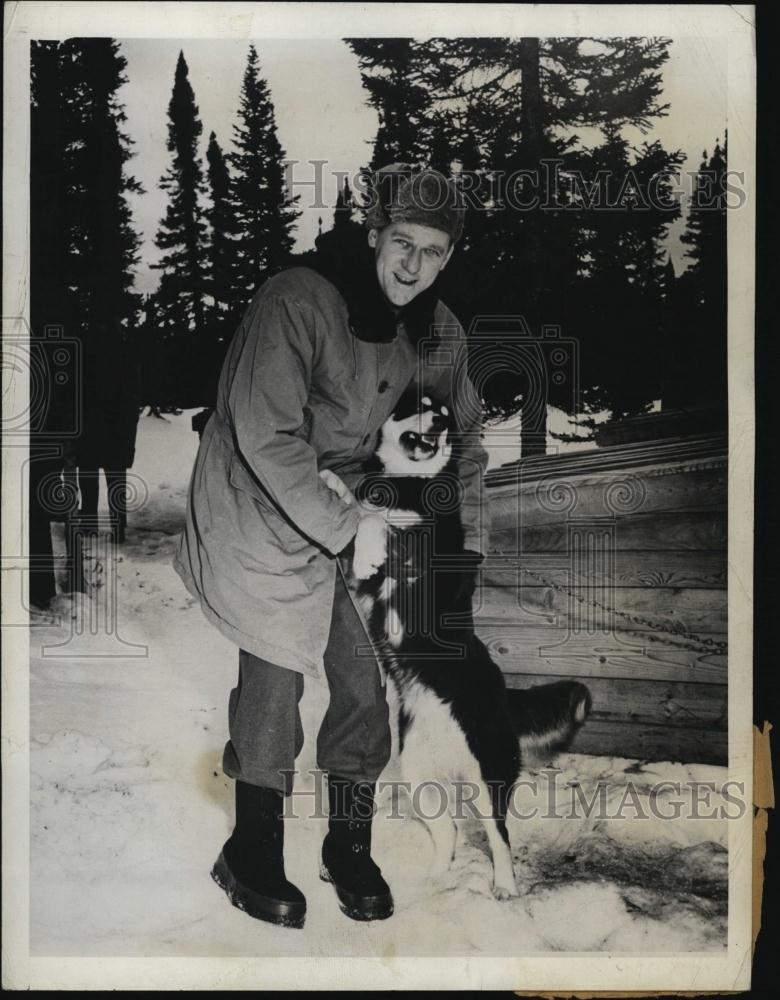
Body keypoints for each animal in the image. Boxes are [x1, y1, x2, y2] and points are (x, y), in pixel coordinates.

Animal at [350, 388, 588, 900]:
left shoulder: (429, 551)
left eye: (444, 412)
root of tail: (502, 695)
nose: (440, 423)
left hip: (487, 776)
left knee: (499, 837)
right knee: (451, 831)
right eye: (417, 405)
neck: (411, 481)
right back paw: (436, 881)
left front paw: (372, 542)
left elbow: (381, 522)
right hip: (419, 777)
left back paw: (504, 886)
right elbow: (366, 515)